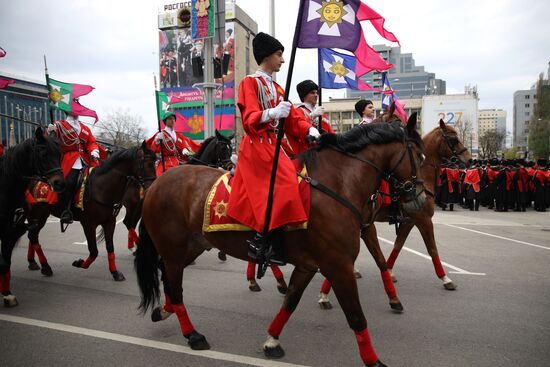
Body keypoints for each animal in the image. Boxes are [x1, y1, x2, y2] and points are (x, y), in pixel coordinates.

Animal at [0, 129, 65, 308]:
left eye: (59, 154)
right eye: (42, 153)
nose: (60, 184)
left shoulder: (10, 231)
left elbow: (5, 262)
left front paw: (7, 294)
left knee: (33, 235)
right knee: (33, 235)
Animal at [21, 142, 155, 292]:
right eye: (148, 163)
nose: (152, 187)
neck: (101, 187)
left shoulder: (110, 222)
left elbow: (110, 247)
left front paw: (115, 273)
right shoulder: (88, 224)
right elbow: (94, 251)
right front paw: (79, 263)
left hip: (40, 215)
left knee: (33, 235)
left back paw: (34, 263)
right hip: (39, 214)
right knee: (33, 236)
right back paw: (45, 266)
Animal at [135, 119, 426, 366]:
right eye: (420, 156)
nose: (423, 198)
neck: (337, 185)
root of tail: (158, 183)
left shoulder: (310, 265)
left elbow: (291, 302)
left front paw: (272, 341)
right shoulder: (339, 265)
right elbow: (356, 316)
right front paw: (373, 360)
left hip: (192, 246)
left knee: (168, 280)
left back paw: (164, 311)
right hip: (174, 249)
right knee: (174, 286)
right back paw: (193, 334)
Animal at [316, 111, 472, 310]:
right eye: (453, 139)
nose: (469, 159)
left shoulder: (410, 221)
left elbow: (398, 245)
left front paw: (389, 272)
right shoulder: (423, 219)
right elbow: (432, 249)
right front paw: (445, 278)